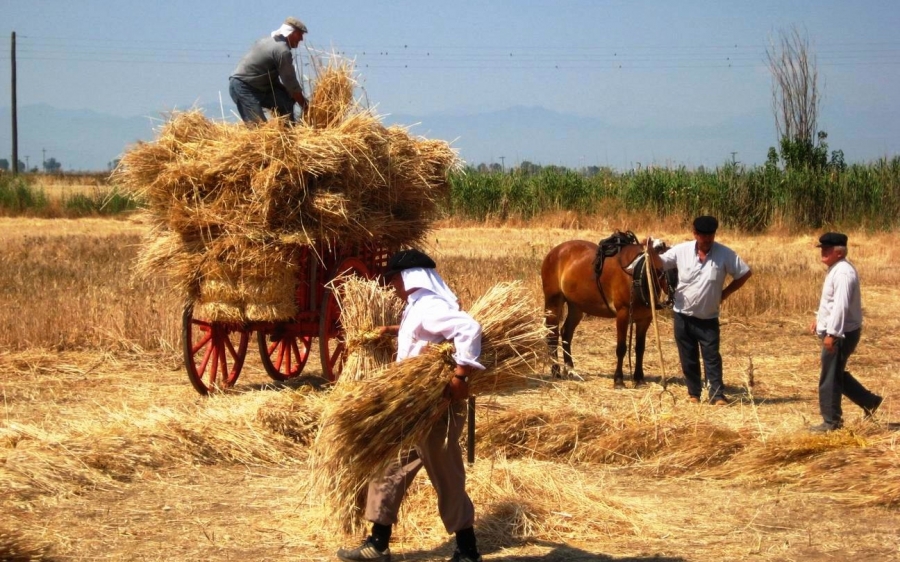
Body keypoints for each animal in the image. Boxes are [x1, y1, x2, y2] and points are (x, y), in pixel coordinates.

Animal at [540, 234, 668, 388]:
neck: (638, 273)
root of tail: (554, 252)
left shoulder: (645, 319)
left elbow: (640, 348)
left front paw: (639, 379)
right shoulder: (623, 314)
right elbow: (621, 348)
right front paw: (618, 380)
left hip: (576, 306)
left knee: (566, 333)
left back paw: (571, 370)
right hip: (553, 302)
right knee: (552, 335)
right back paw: (556, 371)